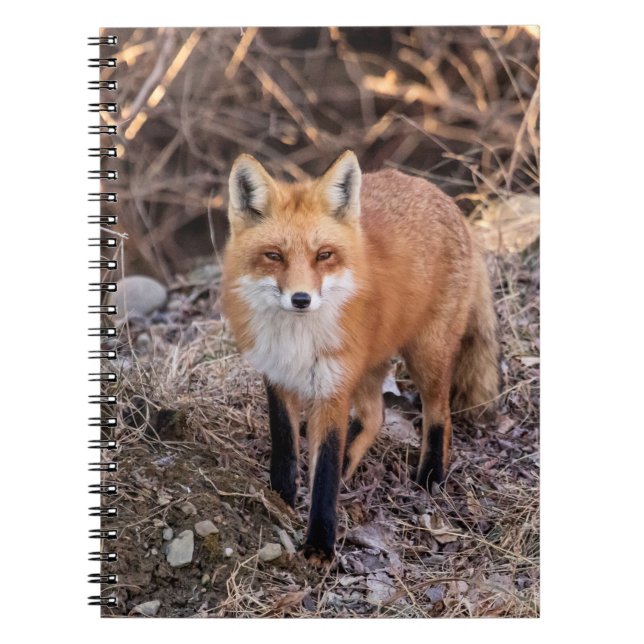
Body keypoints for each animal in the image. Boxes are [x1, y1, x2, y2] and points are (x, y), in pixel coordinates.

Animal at [221, 150, 500, 565]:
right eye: (274, 256)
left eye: (324, 255)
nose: (301, 299)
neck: (296, 339)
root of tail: (441, 196)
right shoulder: (277, 376)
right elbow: (285, 447)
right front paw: (281, 497)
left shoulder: (333, 388)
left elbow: (324, 474)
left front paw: (319, 545)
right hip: (368, 364)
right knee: (375, 416)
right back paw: (352, 460)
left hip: (426, 354)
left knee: (440, 414)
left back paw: (431, 476)